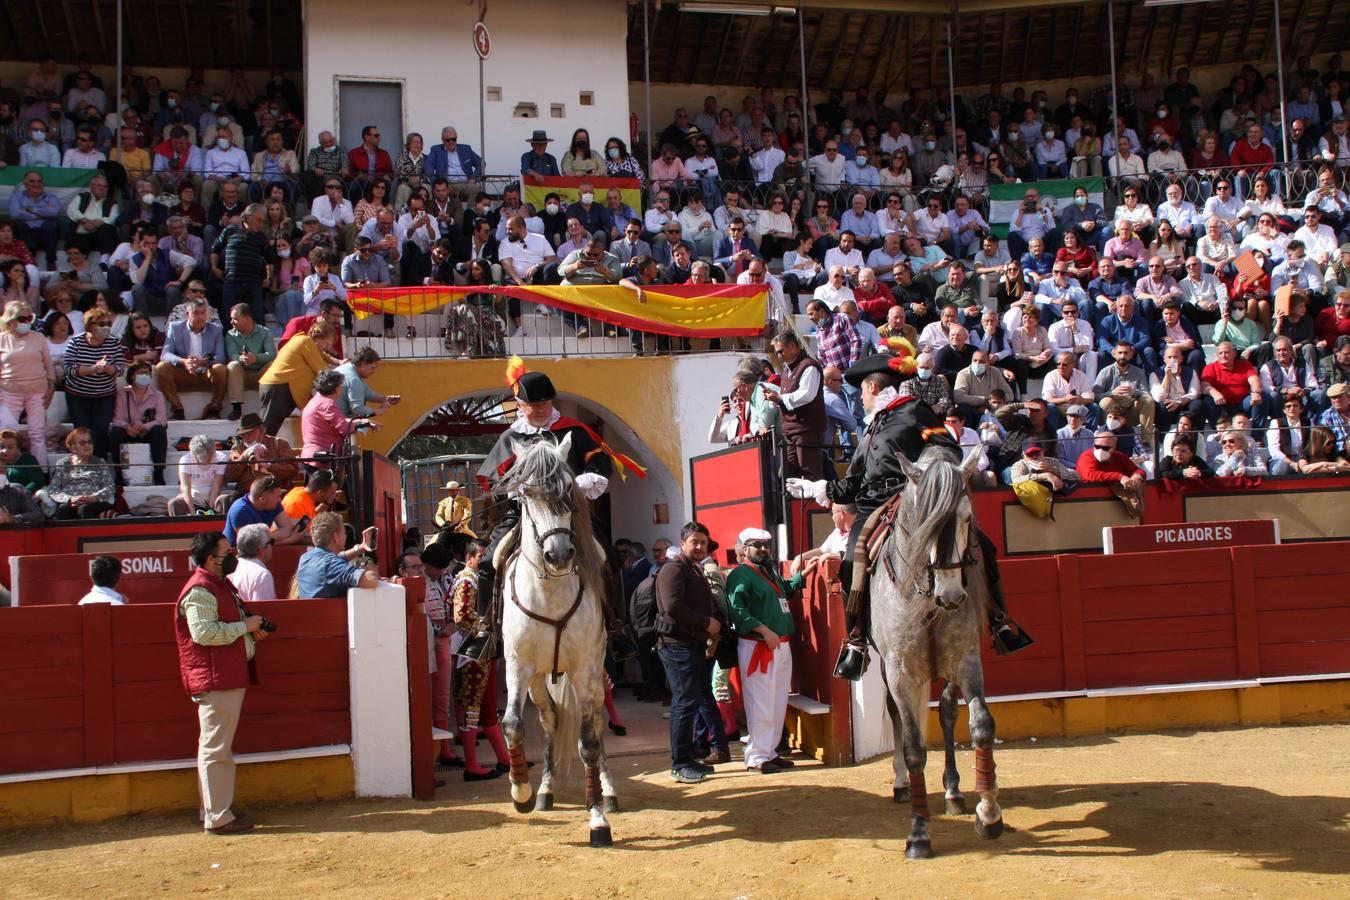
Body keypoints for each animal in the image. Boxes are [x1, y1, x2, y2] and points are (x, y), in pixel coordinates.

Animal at [499, 437, 618, 847]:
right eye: (526, 495)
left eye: (568, 491)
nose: (560, 554)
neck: (549, 590)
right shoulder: (517, 666)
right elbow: (513, 724)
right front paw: (520, 793)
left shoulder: (584, 668)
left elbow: (589, 741)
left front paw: (597, 819)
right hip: (539, 678)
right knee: (549, 718)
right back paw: (545, 790)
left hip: (596, 670)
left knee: (596, 722)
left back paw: (609, 791)